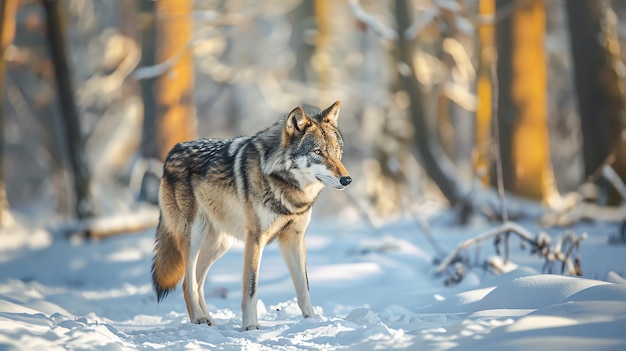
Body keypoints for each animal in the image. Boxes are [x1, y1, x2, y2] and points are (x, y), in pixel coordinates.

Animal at [149, 101, 348, 330]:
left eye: (337, 151)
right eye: (318, 151)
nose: (347, 179)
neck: (286, 185)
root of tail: (173, 151)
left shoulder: (294, 239)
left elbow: (304, 288)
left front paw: (312, 322)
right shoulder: (255, 238)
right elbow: (251, 288)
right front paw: (251, 327)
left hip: (219, 245)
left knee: (197, 284)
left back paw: (209, 322)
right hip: (194, 237)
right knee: (187, 283)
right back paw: (198, 320)